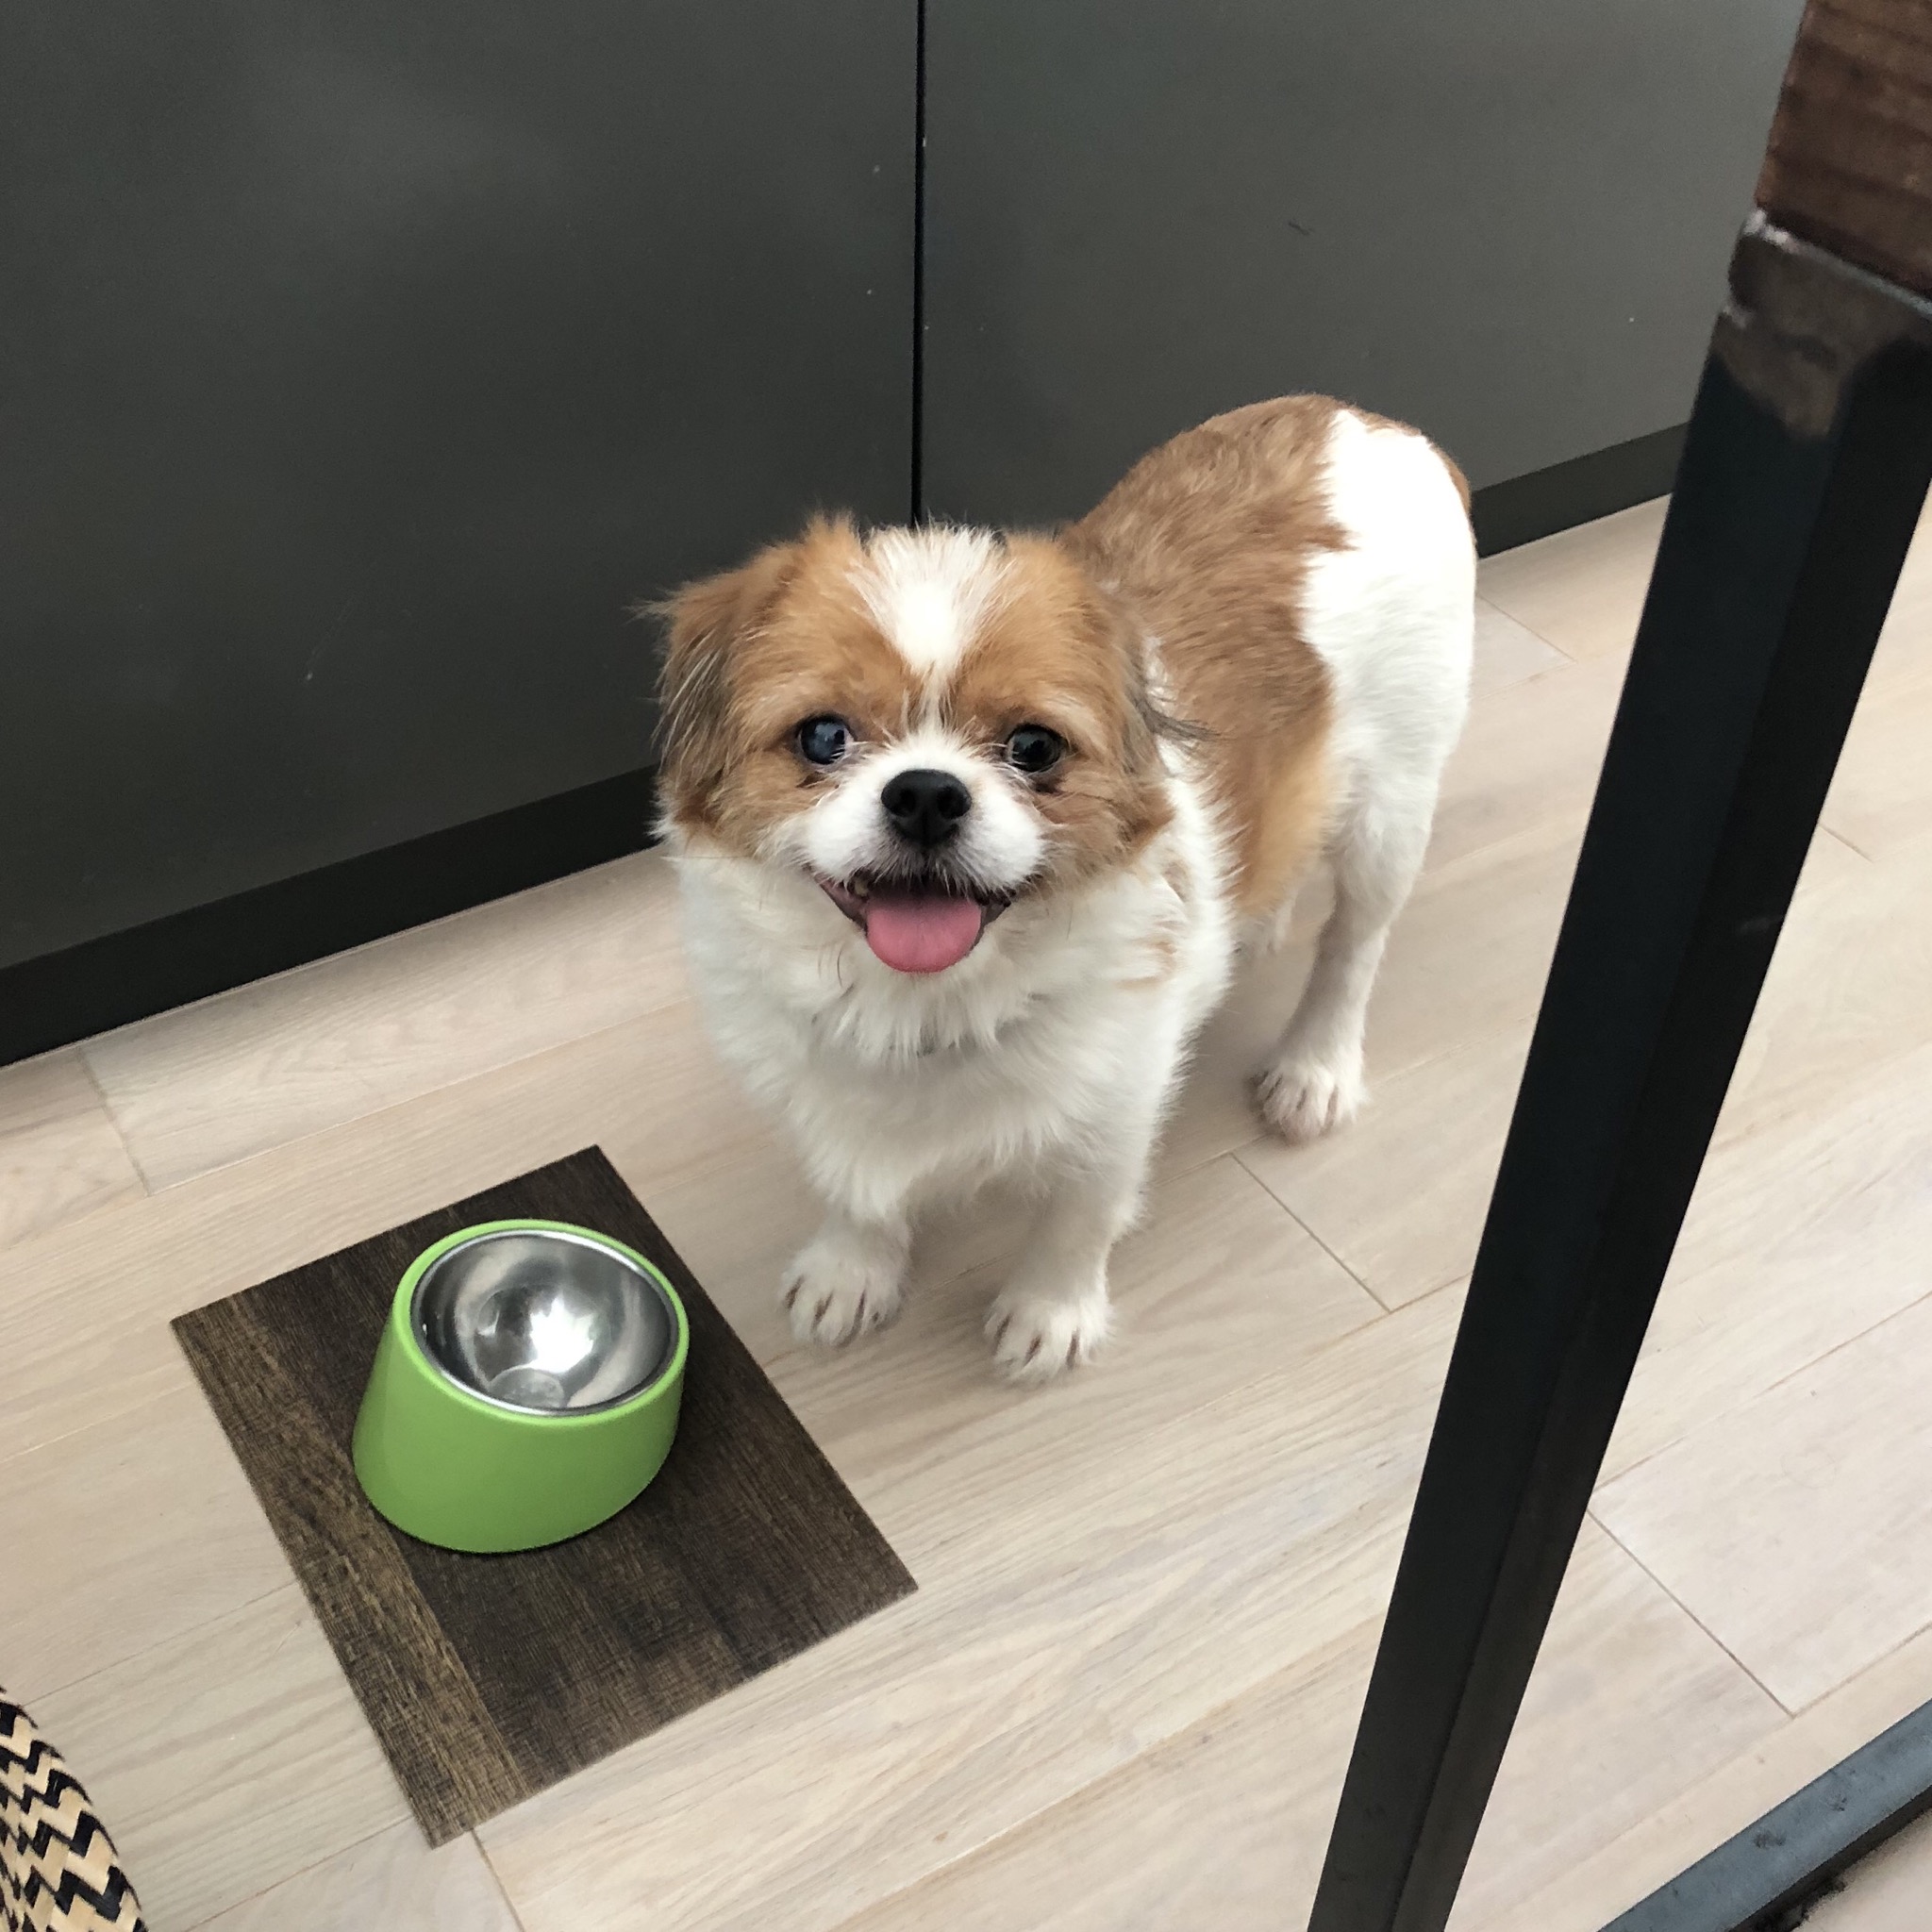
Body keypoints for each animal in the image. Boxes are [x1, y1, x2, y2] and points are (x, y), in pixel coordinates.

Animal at [653, 396, 1473, 1380]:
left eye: (1034, 747)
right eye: (822, 737)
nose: (925, 794)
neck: (920, 1003)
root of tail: (1369, 420)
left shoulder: (1117, 1103)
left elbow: (1079, 1216)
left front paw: (1050, 1312)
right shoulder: (821, 1096)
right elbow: (854, 1186)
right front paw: (854, 1266)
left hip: (1393, 809)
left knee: (1353, 946)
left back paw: (1316, 1066)